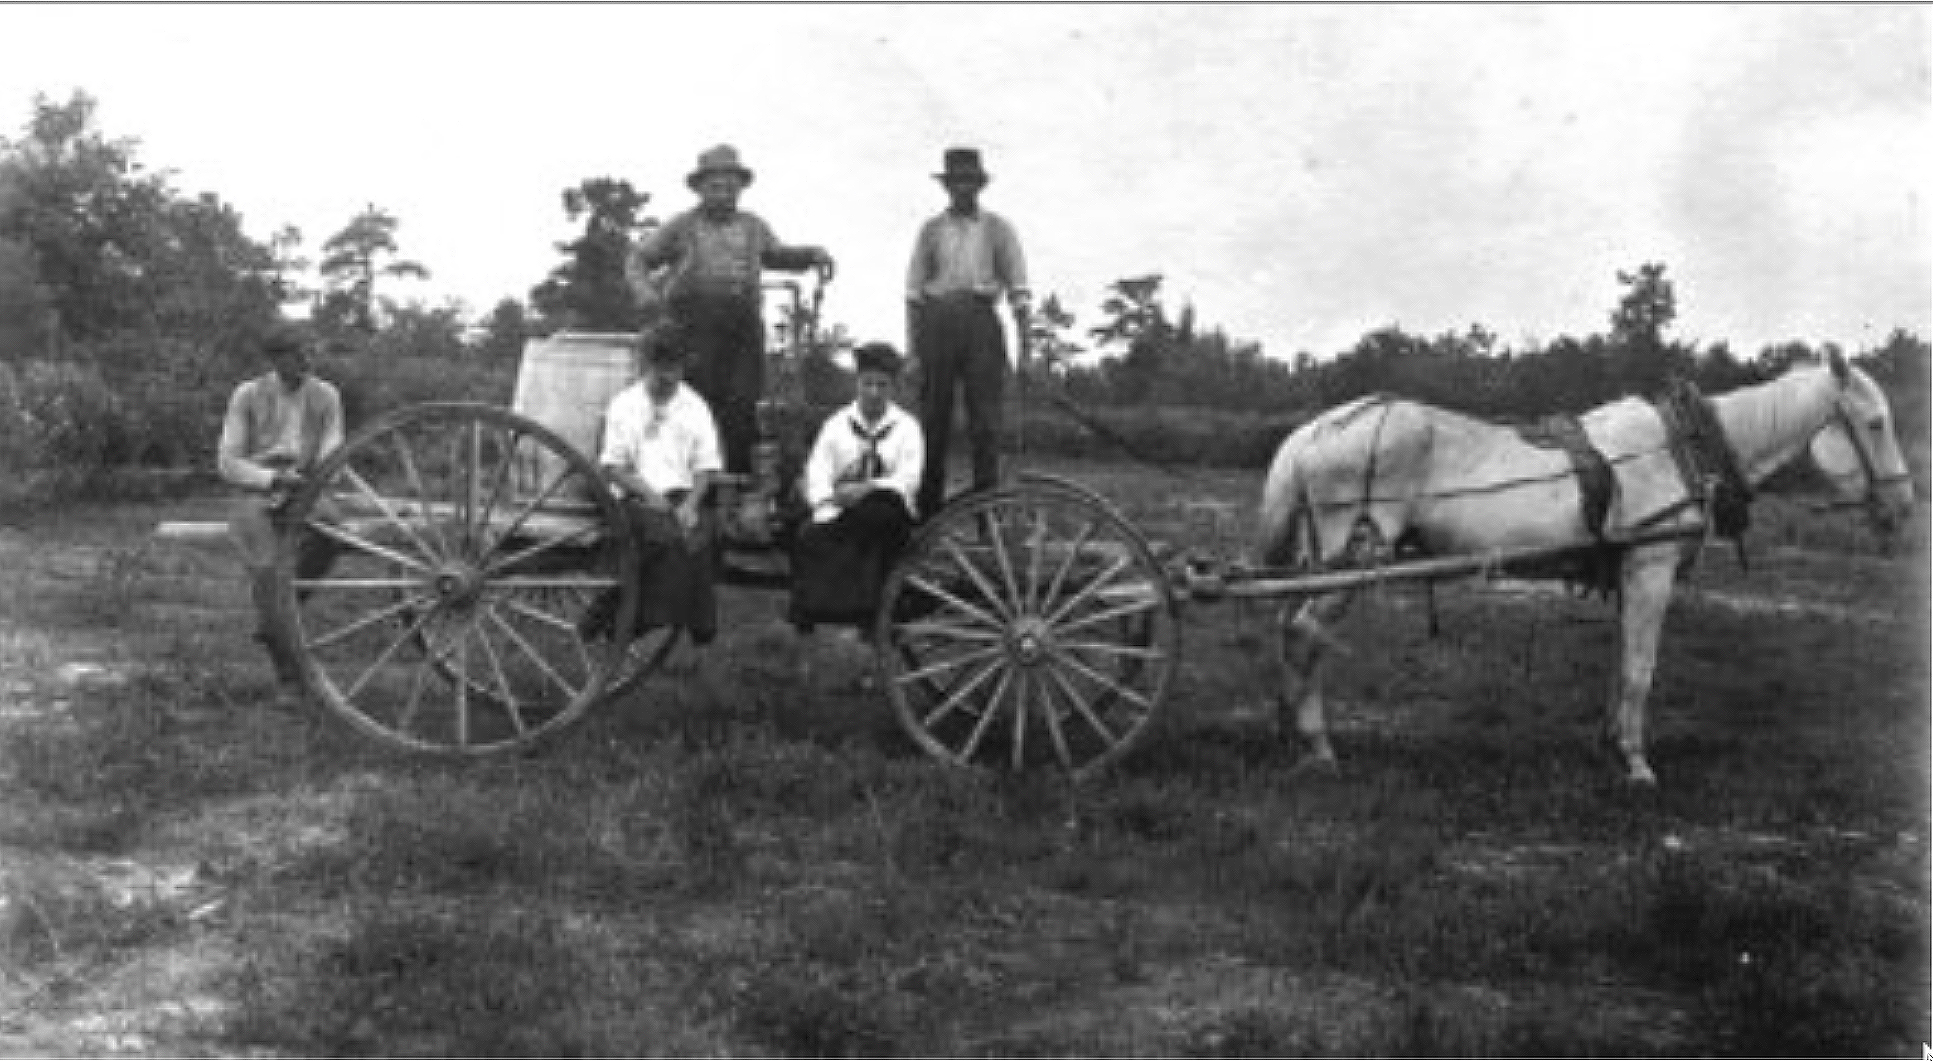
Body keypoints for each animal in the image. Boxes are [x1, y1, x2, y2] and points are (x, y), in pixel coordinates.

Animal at [1252, 351, 1917, 780]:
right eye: (1877, 423)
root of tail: (1315, 431)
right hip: (1352, 559)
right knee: (1307, 630)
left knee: (1288, 626)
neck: (1685, 449)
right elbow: (1642, 668)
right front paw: (1638, 762)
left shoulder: (1628, 575)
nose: (1905, 508)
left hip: (1321, 559)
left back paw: (1288, 730)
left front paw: (1611, 743)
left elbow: (1621, 664)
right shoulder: (1650, 569)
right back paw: (1319, 745)